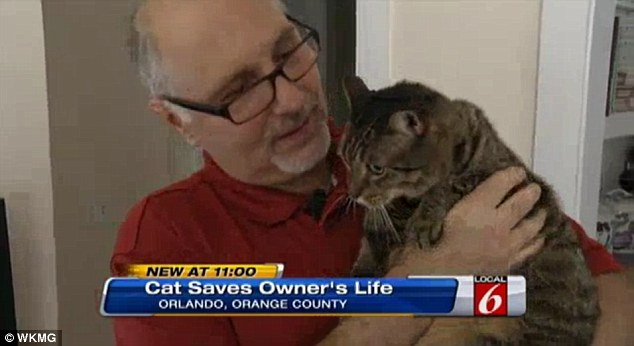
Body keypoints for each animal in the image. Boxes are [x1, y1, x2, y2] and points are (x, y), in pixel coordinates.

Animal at [338, 76, 596, 346]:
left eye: (377, 168)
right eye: (345, 159)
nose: (352, 194)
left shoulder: (499, 180)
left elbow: (444, 187)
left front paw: (424, 219)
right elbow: (370, 243)